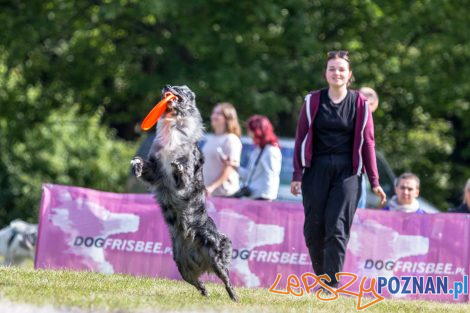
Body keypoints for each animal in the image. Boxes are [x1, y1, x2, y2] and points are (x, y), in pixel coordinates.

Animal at [130, 84, 237, 302]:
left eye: (180, 89)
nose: (166, 86)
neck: (174, 125)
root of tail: (202, 259)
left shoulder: (182, 176)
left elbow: (183, 174)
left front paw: (179, 167)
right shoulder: (156, 170)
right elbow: (144, 165)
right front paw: (136, 165)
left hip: (216, 255)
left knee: (227, 280)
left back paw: (234, 298)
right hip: (181, 263)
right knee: (197, 281)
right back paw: (205, 291)